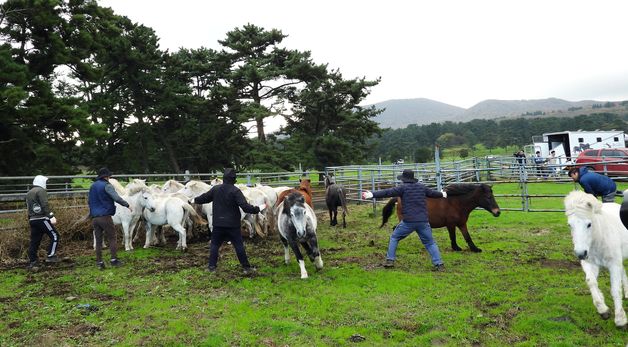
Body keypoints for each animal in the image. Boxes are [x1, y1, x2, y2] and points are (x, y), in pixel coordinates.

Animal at [564, 190, 628, 328]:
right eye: (569, 225)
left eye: (589, 224)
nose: (580, 253)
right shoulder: (589, 263)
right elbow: (591, 282)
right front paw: (603, 309)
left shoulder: (613, 264)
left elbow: (615, 289)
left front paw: (620, 320)